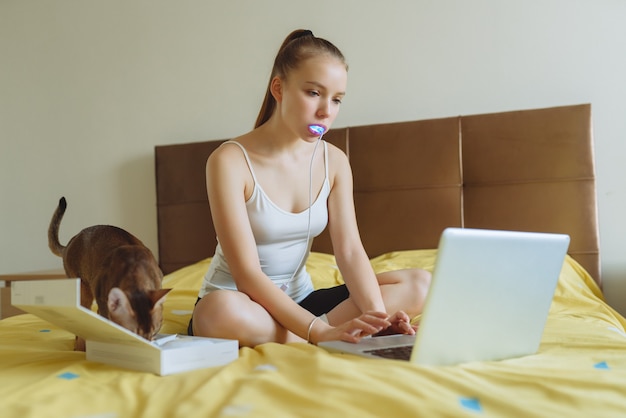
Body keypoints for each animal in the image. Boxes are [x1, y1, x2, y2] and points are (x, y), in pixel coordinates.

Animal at [48, 196, 171, 350]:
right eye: (133, 333)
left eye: (155, 331)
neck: (136, 274)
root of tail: (70, 242)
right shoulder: (103, 302)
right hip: (83, 292)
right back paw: (80, 347)